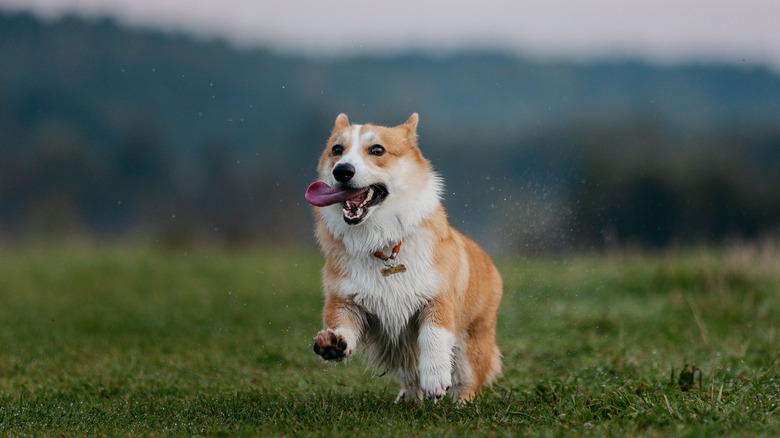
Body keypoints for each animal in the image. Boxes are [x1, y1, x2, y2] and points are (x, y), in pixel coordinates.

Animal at [304, 114, 506, 404]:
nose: (341, 171)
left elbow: (433, 337)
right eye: (337, 150)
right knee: (410, 377)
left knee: (469, 380)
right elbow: (341, 323)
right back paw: (408, 399)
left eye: (377, 150)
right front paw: (333, 343)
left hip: (473, 343)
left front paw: (435, 380)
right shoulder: (345, 300)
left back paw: (461, 403)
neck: (382, 244)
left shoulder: (438, 300)